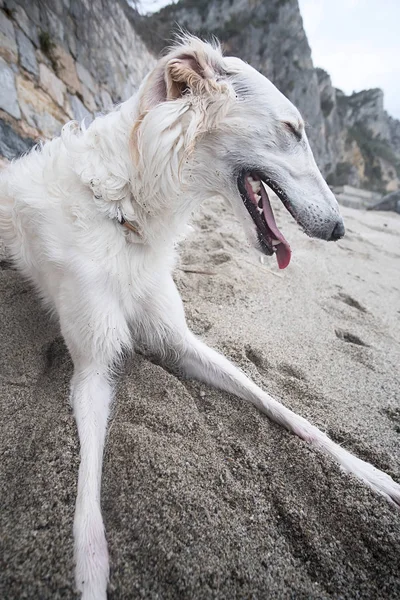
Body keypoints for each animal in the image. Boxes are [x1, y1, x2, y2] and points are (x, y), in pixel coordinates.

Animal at [0, 37, 398, 600]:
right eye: (292, 129)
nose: (341, 230)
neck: (128, 211)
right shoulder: (92, 368)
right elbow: (88, 504)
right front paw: (90, 575)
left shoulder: (178, 339)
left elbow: (283, 408)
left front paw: (373, 475)